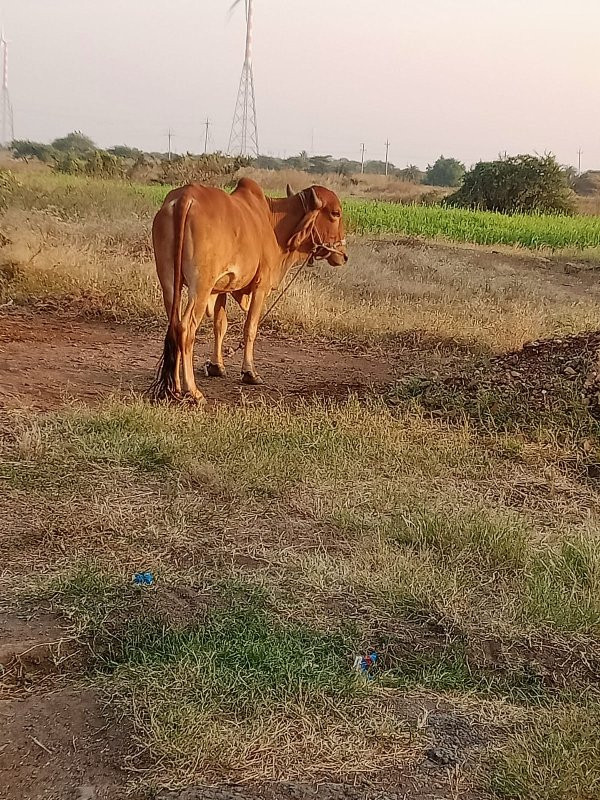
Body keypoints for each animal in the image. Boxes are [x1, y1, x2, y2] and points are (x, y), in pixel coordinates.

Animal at [150, 182, 346, 406]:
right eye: (335, 213)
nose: (343, 256)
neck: (272, 221)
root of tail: (185, 197)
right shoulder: (260, 286)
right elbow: (250, 328)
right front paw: (249, 372)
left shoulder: (222, 288)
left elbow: (220, 326)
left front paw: (217, 366)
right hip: (200, 287)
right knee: (185, 329)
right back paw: (194, 391)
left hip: (169, 282)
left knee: (173, 325)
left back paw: (174, 387)